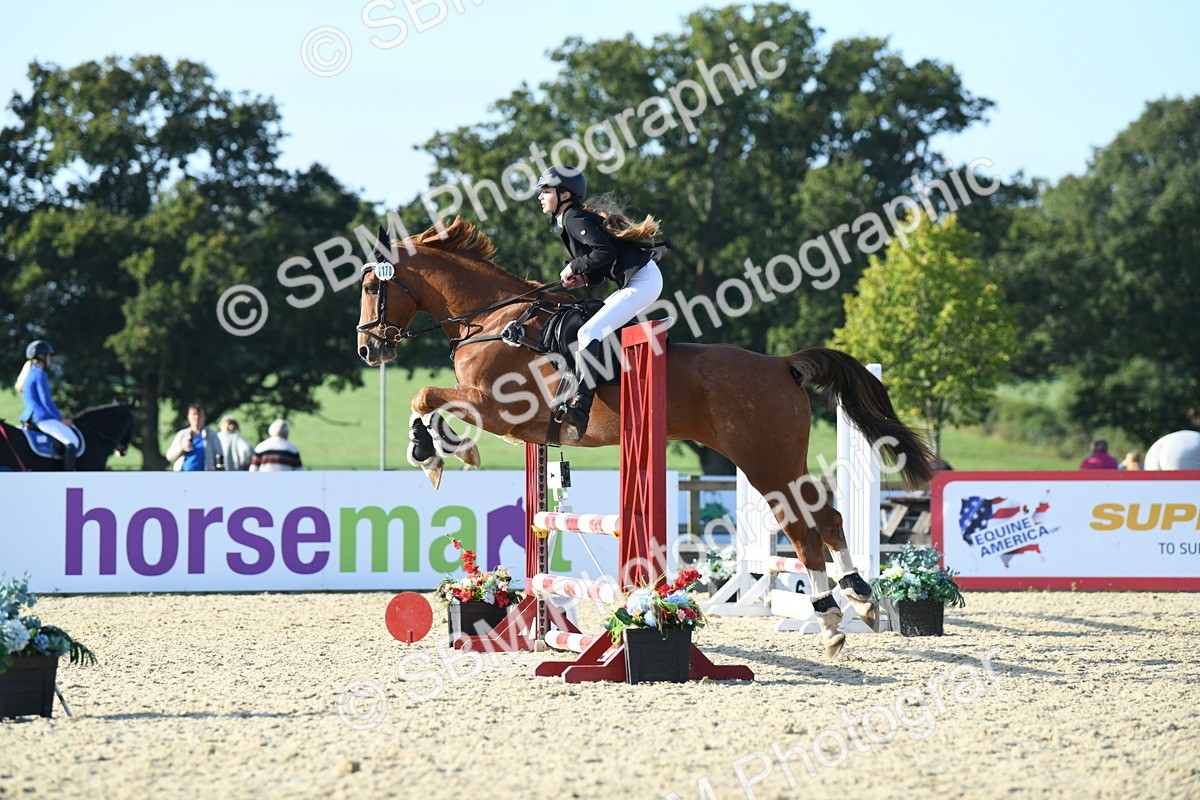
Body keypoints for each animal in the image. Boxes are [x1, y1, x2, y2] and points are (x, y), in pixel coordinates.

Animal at [356, 217, 935, 657]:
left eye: (370, 287)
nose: (368, 349)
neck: (496, 320)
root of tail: (780, 364)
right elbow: (433, 402)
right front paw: (443, 450)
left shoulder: (501, 409)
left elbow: (425, 397)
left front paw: (431, 453)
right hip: (776, 459)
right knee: (826, 516)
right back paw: (859, 599)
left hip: (764, 459)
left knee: (800, 527)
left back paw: (832, 620)